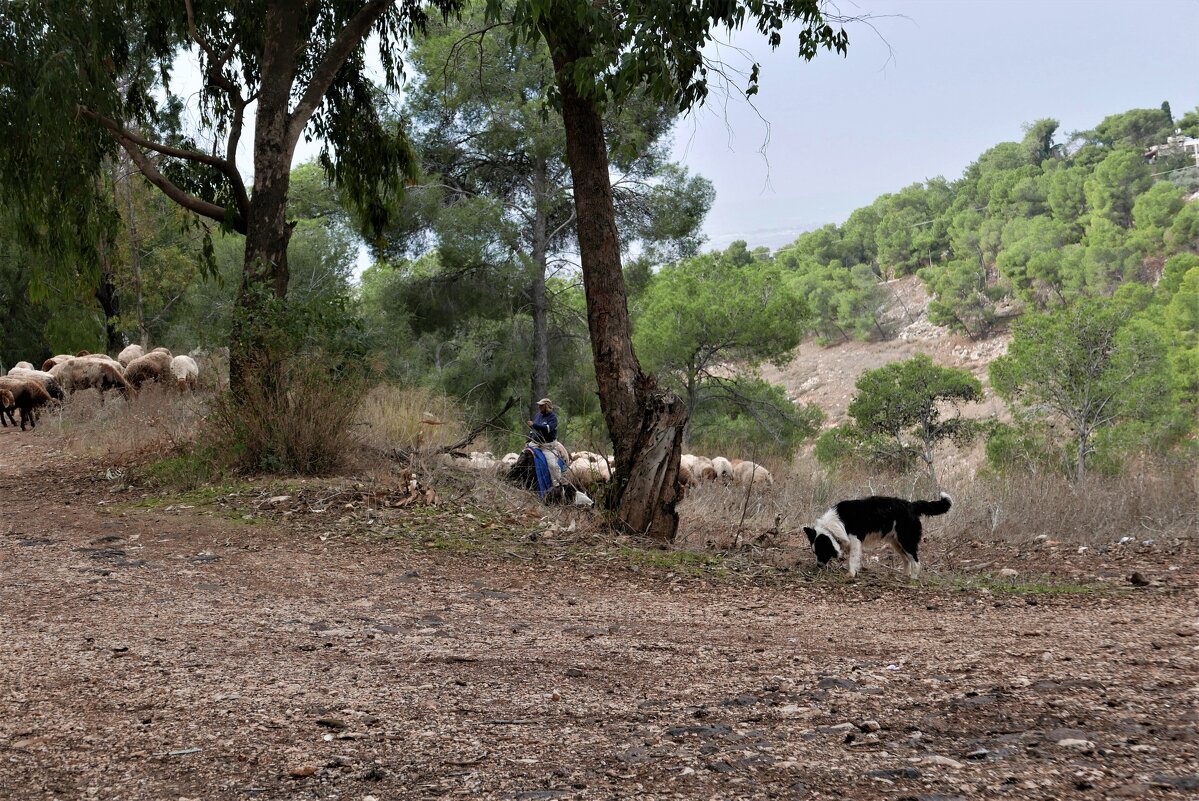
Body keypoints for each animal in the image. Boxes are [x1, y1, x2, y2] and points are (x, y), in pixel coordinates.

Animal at [805, 491, 954, 577]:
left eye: (822, 550)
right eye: (815, 552)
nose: (818, 566)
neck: (835, 523)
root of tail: (912, 505)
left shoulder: (855, 540)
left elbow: (852, 559)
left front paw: (851, 574)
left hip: (906, 540)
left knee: (916, 562)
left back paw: (913, 579)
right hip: (896, 543)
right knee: (907, 559)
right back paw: (905, 576)